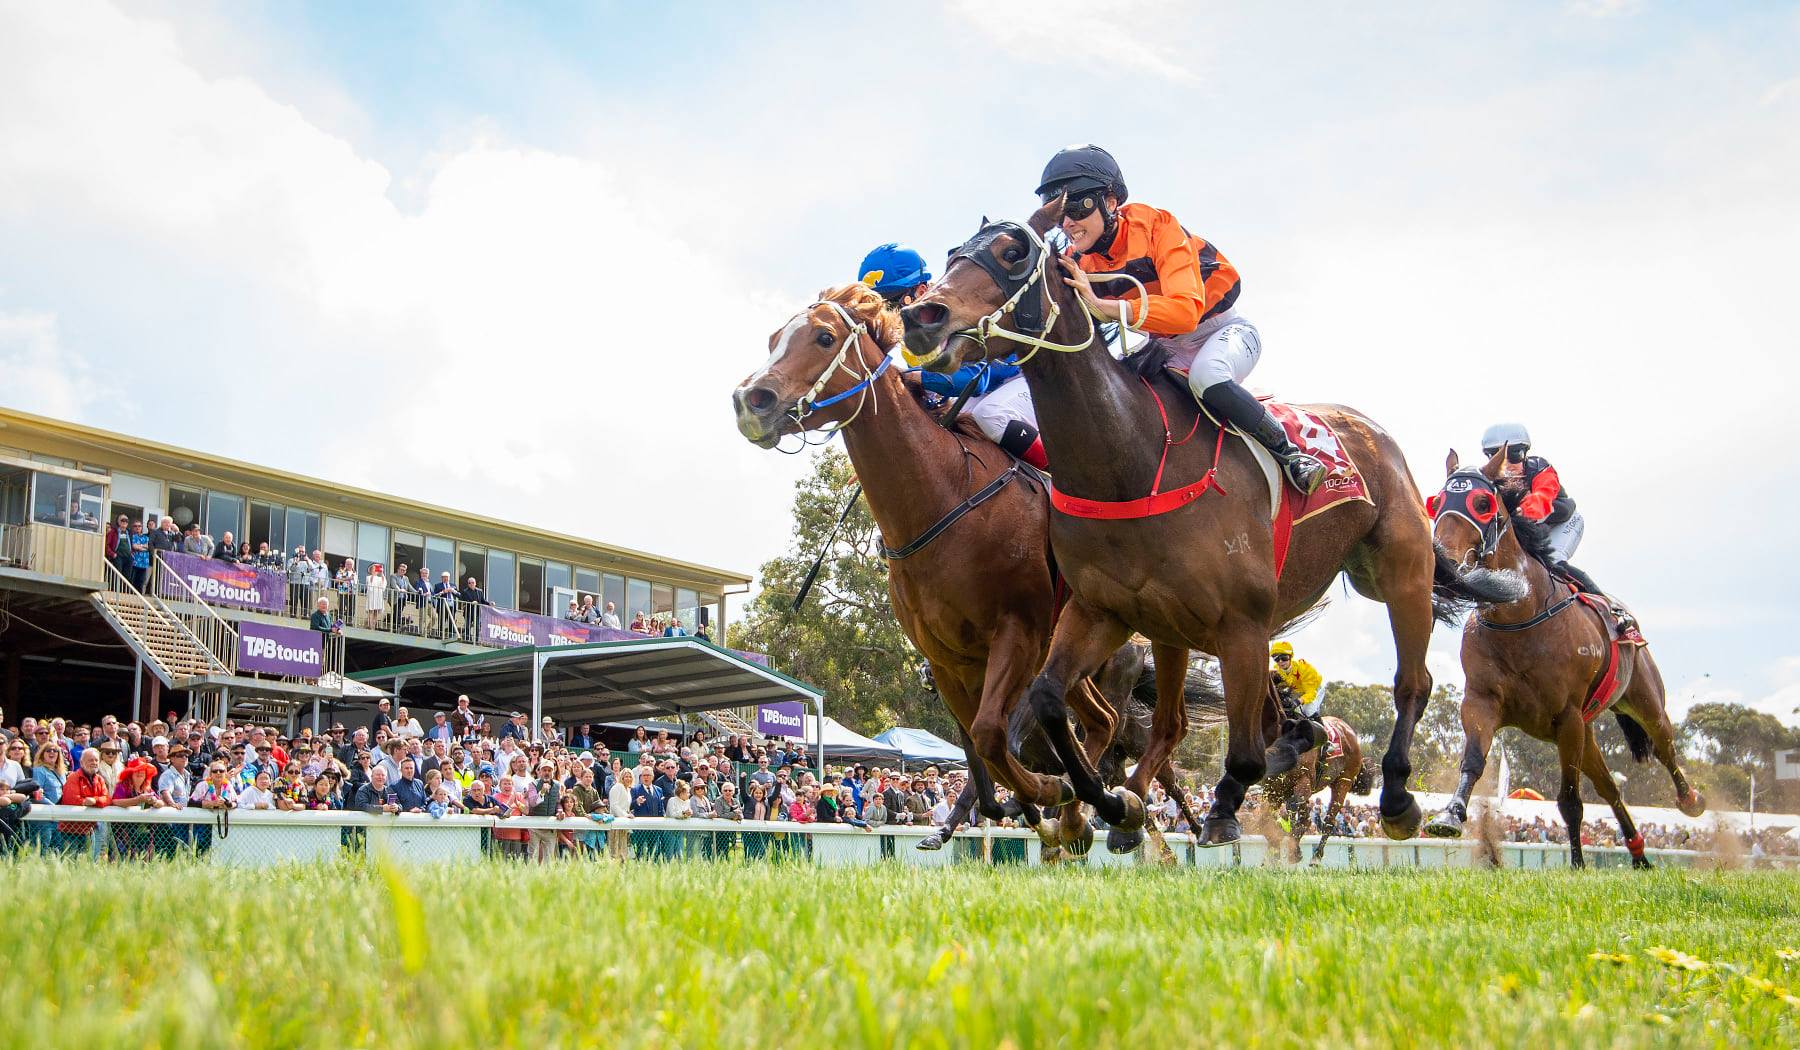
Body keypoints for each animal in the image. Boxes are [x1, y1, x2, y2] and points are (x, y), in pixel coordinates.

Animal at [730, 286, 1209, 853]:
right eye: (773, 340)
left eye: (824, 337)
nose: (750, 400)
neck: (944, 494)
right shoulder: (947, 658)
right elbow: (980, 756)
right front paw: (1034, 805)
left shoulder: (1017, 635)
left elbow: (991, 735)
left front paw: (1046, 794)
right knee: (1103, 721)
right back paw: (1083, 816)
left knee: (1141, 728)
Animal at [896, 201, 1504, 850]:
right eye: (955, 251)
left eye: (1012, 253)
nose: (921, 317)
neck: (1132, 459)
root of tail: (1373, 432)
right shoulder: (1101, 610)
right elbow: (1051, 701)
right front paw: (1110, 805)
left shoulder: (1243, 623)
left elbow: (1242, 753)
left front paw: (1215, 807)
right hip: (1181, 627)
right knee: (1206, 724)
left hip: (1399, 573)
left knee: (1411, 684)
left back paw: (1398, 800)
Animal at [1418, 448, 1699, 868]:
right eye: (1436, 503)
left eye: (1482, 504)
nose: (1440, 561)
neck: (1519, 616)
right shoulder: (1482, 701)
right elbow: (1473, 761)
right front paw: (1449, 816)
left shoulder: (1567, 717)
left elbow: (1570, 801)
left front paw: (1578, 864)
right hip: (1590, 733)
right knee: (1611, 789)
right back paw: (1639, 856)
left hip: (1643, 703)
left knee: (1665, 746)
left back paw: (1690, 799)